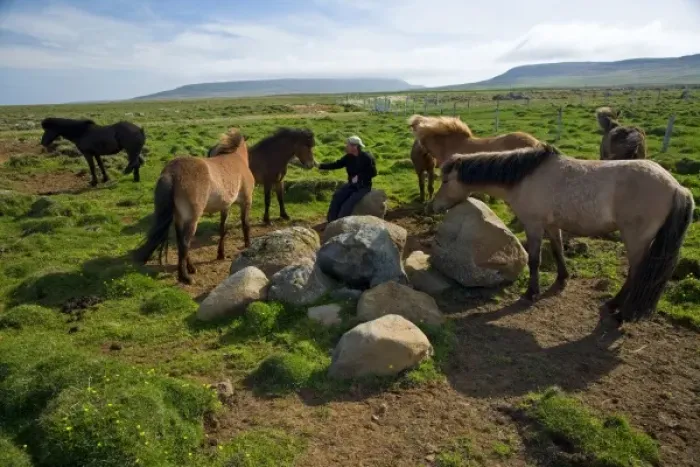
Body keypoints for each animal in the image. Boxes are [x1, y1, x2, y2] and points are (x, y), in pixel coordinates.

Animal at [133, 127, 254, 285]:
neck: (236, 158)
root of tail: (171, 173)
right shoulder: (246, 202)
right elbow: (245, 225)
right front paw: (248, 245)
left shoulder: (225, 207)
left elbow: (222, 229)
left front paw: (220, 254)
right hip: (191, 219)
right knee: (185, 243)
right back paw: (185, 276)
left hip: (179, 219)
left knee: (181, 243)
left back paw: (190, 268)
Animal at [429, 144, 694, 325]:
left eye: (445, 180)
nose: (433, 206)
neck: (526, 177)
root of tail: (676, 187)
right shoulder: (551, 225)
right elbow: (557, 250)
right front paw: (562, 279)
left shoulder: (534, 225)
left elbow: (534, 260)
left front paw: (531, 293)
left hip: (636, 239)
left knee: (637, 273)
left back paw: (619, 311)